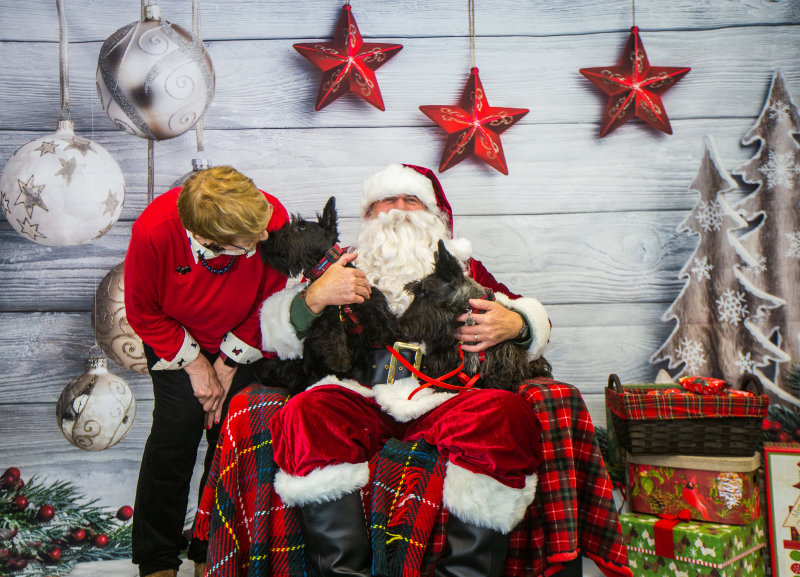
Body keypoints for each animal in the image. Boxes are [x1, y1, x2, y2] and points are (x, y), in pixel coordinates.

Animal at [258, 196, 398, 394]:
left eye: (301, 228)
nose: (265, 240)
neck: (326, 269)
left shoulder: (371, 300)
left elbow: (382, 318)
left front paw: (391, 334)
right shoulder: (326, 322)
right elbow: (333, 338)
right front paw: (340, 363)